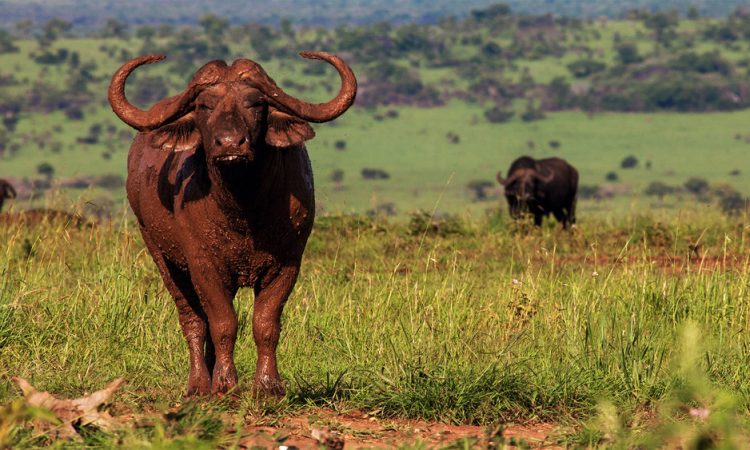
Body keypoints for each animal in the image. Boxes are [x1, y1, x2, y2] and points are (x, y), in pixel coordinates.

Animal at [108, 53, 358, 398]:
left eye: (255, 103)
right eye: (204, 105)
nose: (230, 144)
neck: (242, 209)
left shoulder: (287, 265)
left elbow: (265, 323)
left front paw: (268, 385)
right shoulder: (204, 267)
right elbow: (223, 322)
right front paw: (226, 383)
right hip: (162, 257)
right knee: (193, 319)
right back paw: (200, 383)